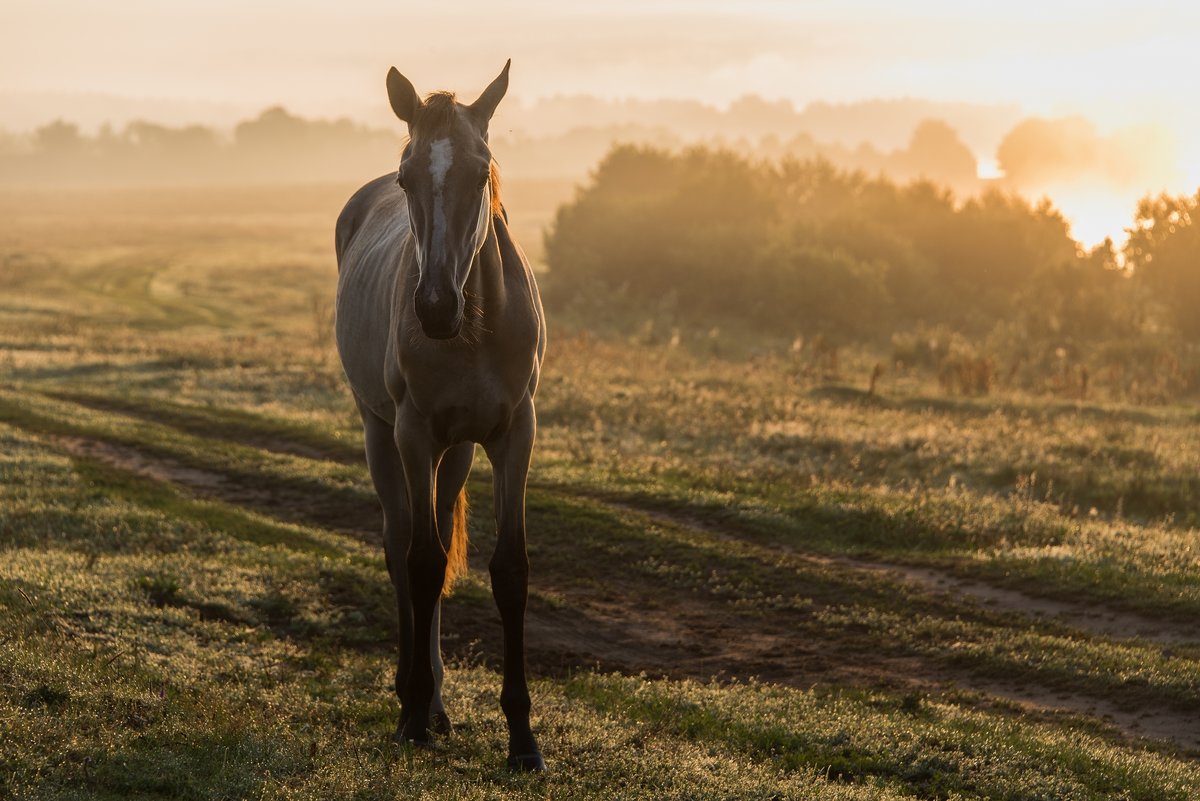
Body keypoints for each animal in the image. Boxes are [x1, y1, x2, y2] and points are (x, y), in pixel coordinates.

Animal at [333, 59, 549, 772]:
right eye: (407, 178)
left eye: (480, 173)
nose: (432, 308)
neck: (475, 325)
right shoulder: (413, 434)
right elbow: (423, 563)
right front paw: (411, 715)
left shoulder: (514, 434)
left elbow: (509, 569)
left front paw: (522, 739)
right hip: (382, 434)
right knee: (402, 547)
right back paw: (414, 699)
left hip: (455, 451)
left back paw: (438, 704)